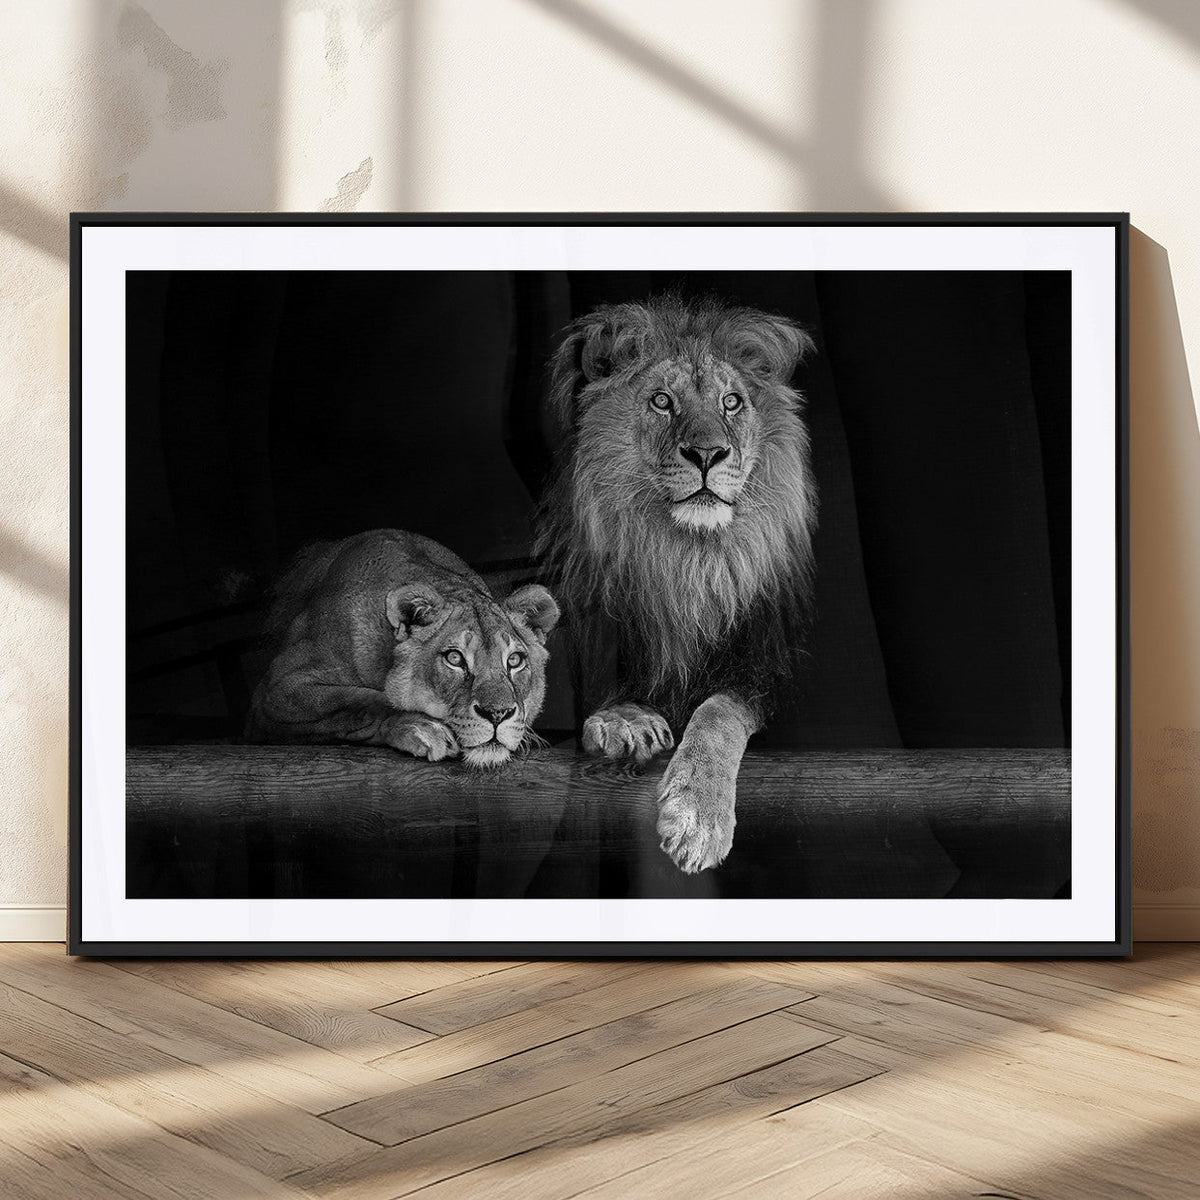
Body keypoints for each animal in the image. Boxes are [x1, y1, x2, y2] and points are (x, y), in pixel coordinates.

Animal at [245, 530, 559, 768]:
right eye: (454, 658)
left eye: (515, 660)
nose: (498, 714)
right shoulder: (275, 690)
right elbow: (359, 701)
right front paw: (423, 727)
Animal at [535, 294, 817, 872]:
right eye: (662, 402)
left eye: (732, 402)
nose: (708, 454)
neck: (686, 561)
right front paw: (626, 720)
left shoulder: (761, 669)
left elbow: (718, 712)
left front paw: (698, 815)